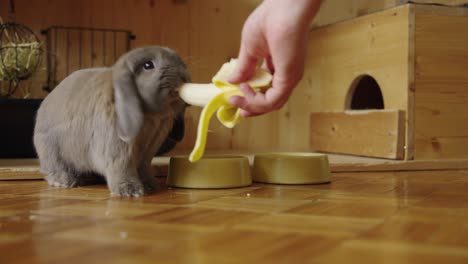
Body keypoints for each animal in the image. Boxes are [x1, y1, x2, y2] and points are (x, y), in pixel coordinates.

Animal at [32, 46, 190, 197]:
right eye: (148, 65)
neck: (151, 116)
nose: (183, 74)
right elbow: (122, 165)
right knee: (53, 168)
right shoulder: (117, 148)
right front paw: (130, 190)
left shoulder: (148, 150)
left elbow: (143, 167)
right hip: (50, 151)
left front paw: (150, 185)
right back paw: (65, 180)